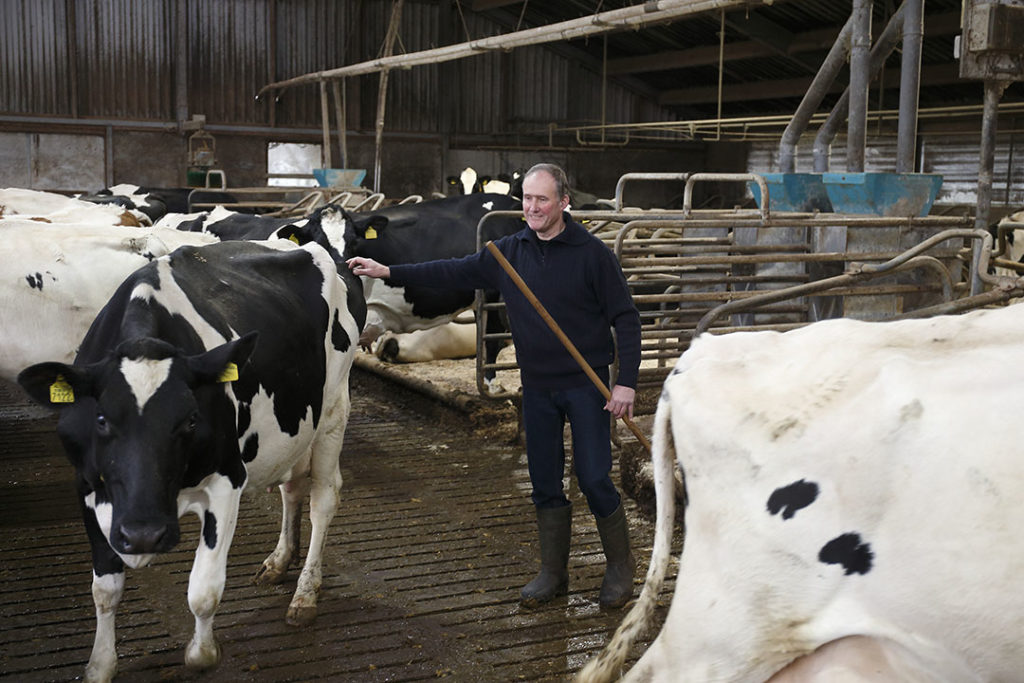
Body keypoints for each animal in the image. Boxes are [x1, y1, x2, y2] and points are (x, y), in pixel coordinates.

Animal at [16, 237, 364, 679]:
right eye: (101, 419)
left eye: (191, 420)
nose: (144, 534)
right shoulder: (87, 487)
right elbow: (105, 589)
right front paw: (100, 665)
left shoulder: (227, 480)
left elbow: (203, 590)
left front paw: (203, 654)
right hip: (295, 425)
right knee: (292, 488)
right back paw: (278, 561)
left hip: (334, 407)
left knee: (323, 498)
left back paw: (304, 595)